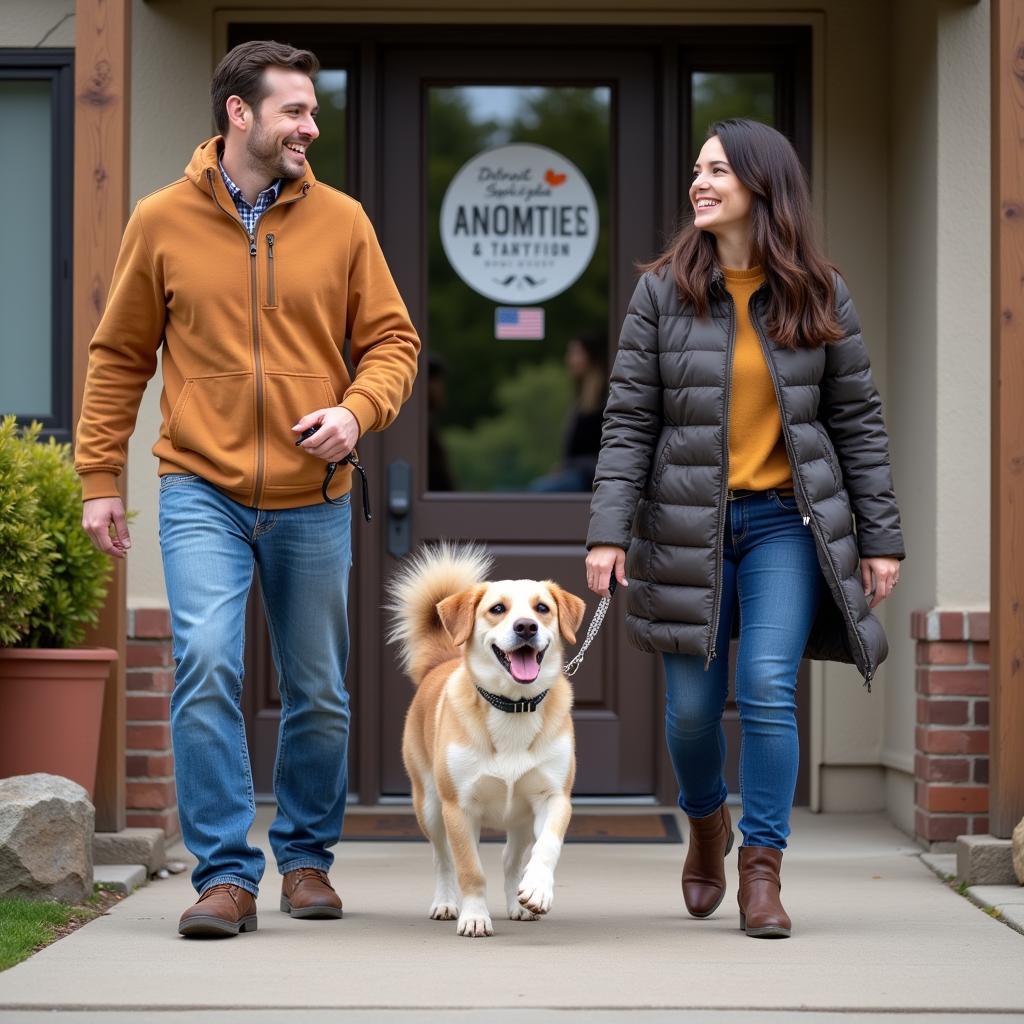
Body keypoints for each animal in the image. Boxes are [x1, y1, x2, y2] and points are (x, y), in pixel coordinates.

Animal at [385, 544, 585, 937]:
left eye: (542, 608)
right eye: (497, 609)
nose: (526, 626)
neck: (514, 706)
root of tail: (439, 664)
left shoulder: (554, 797)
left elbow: (547, 846)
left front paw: (537, 888)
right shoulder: (459, 808)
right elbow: (470, 869)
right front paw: (475, 915)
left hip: (520, 819)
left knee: (511, 860)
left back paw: (517, 902)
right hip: (429, 806)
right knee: (443, 858)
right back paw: (447, 902)